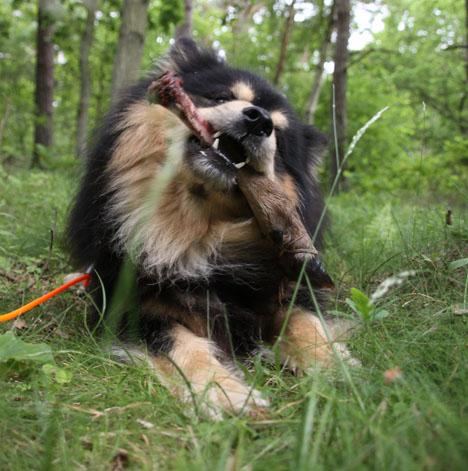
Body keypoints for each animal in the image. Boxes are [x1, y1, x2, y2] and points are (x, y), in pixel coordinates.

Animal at [67, 38, 356, 418]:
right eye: (219, 98)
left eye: (277, 135)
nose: (259, 120)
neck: (199, 234)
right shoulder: (128, 305)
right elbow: (179, 341)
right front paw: (225, 392)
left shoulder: (287, 286)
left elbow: (306, 323)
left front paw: (335, 365)